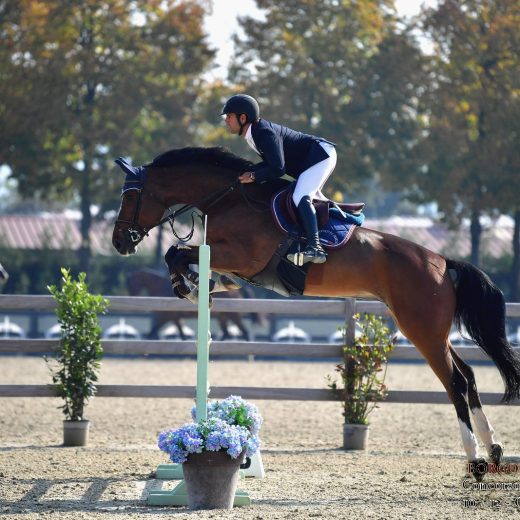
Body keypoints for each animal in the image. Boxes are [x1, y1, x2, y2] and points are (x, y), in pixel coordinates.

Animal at [112, 146, 520, 480]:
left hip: (421, 331)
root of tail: (442, 263)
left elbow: (178, 253)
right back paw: (493, 447)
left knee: (455, 383)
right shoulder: (235, 266)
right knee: (468, 376)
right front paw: (199, 284)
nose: (119, 243)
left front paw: (188, 284)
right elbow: (189, 261)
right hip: (434, 332)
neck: (229, 199)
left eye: (130, 196)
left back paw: (474, 459)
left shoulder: (242, 256)